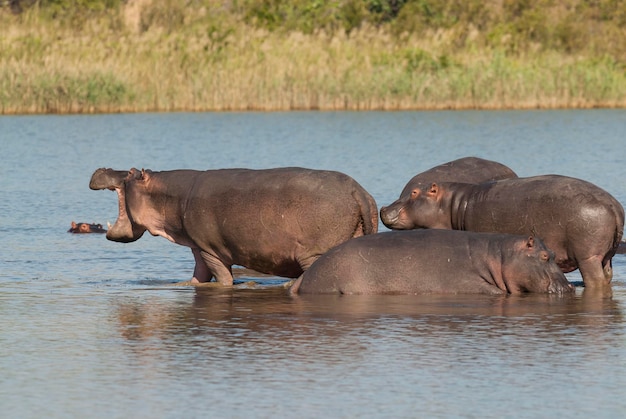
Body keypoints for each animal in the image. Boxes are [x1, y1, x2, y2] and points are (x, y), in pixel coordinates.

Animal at [88, 167, 376, 286]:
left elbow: (223, 279)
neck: (167, 194)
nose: (102, 167)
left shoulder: (209, 249)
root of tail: (358, 191)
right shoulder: (197, 246)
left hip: (313, 253)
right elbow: (197, 277)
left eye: (130, 173)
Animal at [378, 175, 620, 288]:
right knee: (607, 275)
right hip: (606, 256)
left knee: (596, 280)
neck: (453, 204)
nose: (383, 208)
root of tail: (615, 206)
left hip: (588, 257)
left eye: (414, 192)